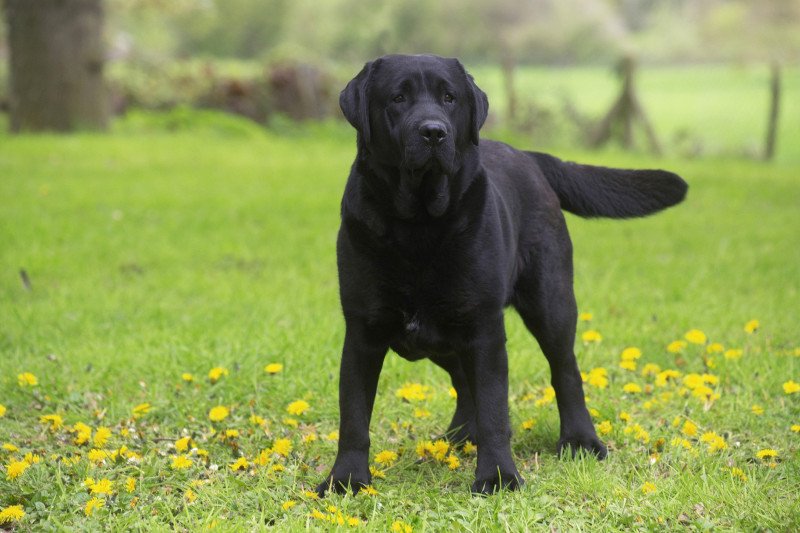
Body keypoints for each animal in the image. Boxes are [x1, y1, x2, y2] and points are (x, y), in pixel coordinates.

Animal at [318, 55, 688, 494]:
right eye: (397, 98)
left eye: (450, 98)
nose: (434, 132)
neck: (418, 225)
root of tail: (528, 156)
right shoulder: (363, 331)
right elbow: (354, 415)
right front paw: (346, 479)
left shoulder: (484, 328)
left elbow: (495, 407)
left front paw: (497, 476)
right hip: (443, 337)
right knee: (463, 382)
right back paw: (461, 437)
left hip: (551, 303)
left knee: (566, 371)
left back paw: (580, 440)